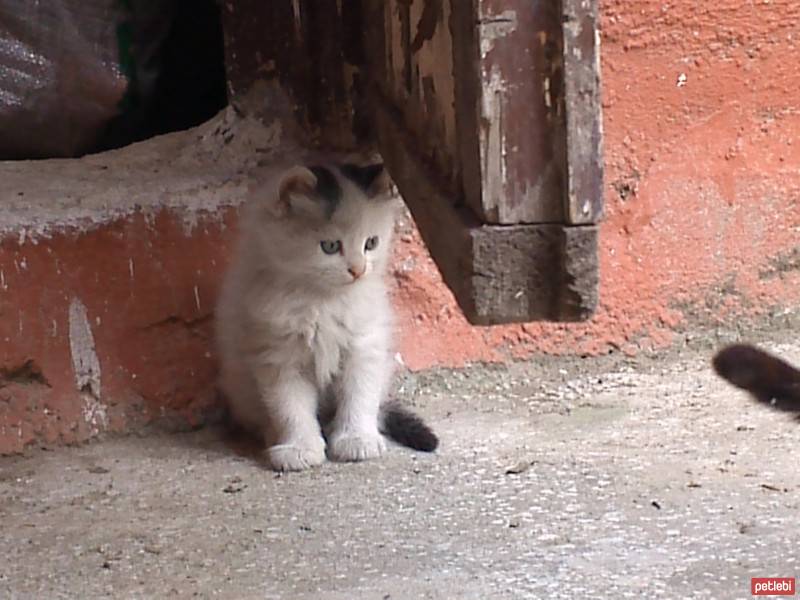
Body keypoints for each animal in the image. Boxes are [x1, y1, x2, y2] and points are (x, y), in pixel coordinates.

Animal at [214, 162, 438, 472]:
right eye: (330, 246)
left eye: (371, 243)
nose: (358, 270)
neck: (324, 302)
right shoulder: (278, 355)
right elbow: (290, 408)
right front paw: (300, 448)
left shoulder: (364, 346)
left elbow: (359, 397)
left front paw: (357, 440)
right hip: (240, 385)